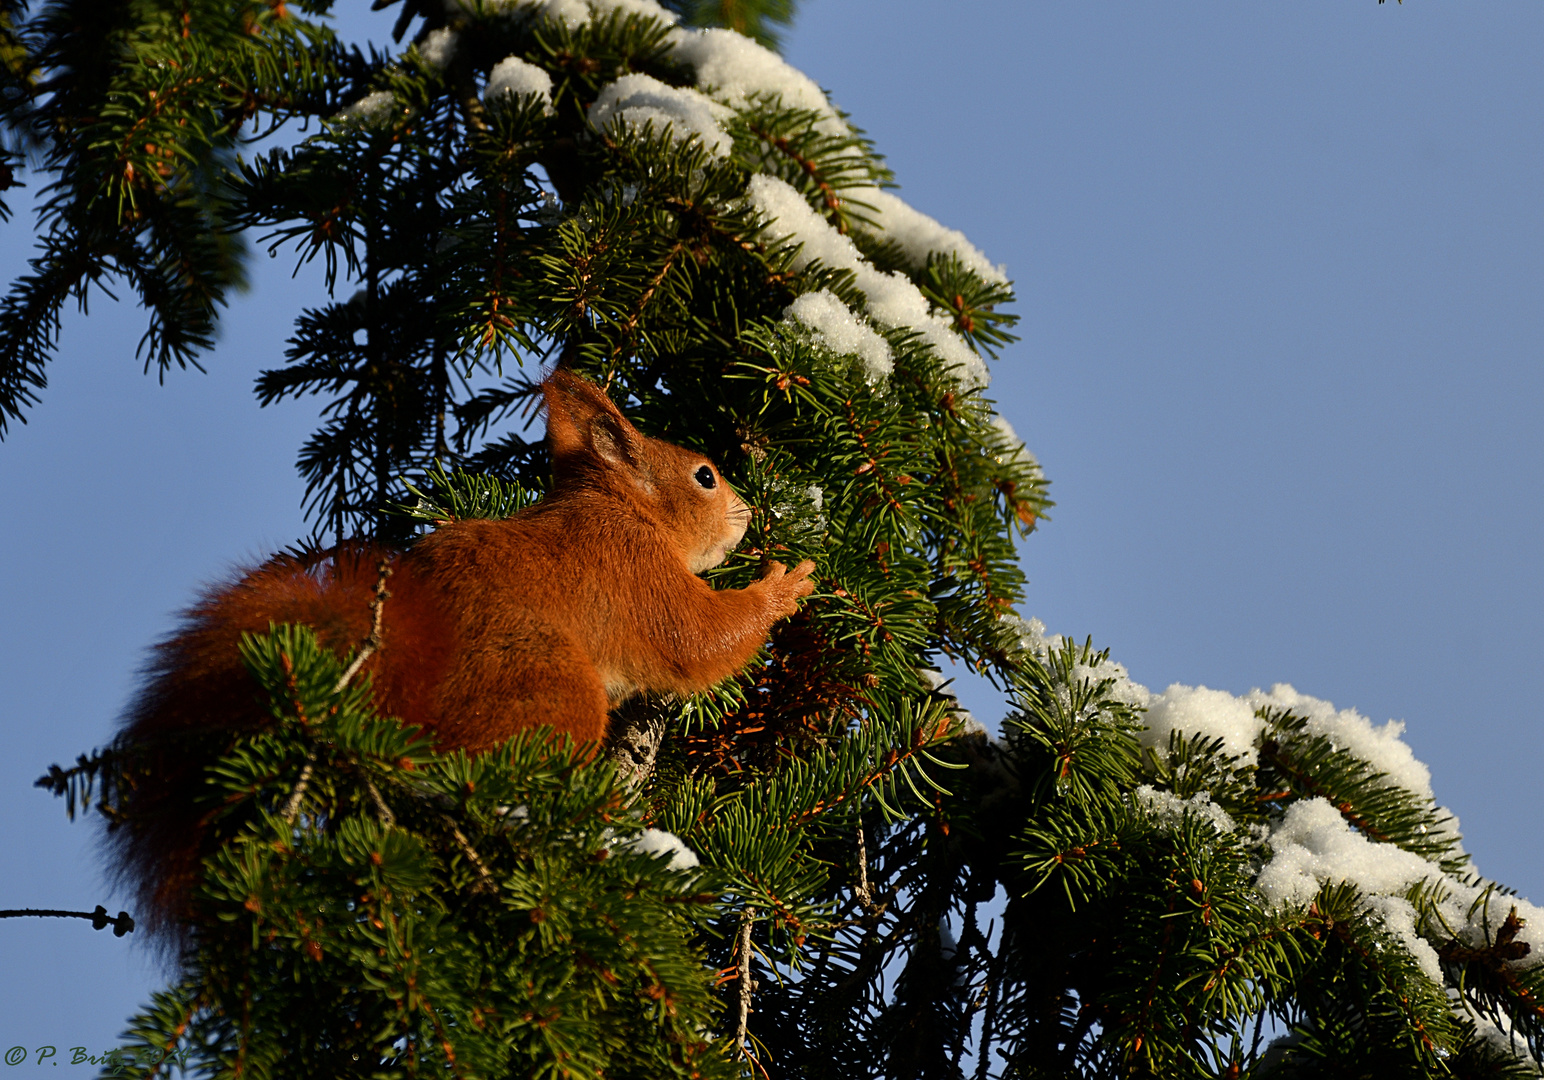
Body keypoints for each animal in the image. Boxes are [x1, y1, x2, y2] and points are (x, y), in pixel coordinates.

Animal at [112, 369, 815, 939]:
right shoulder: (636, 573)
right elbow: (699, 638)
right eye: (704, 476)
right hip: (551, 685)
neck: (621, 508)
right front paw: (780, 589)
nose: (748, 508)